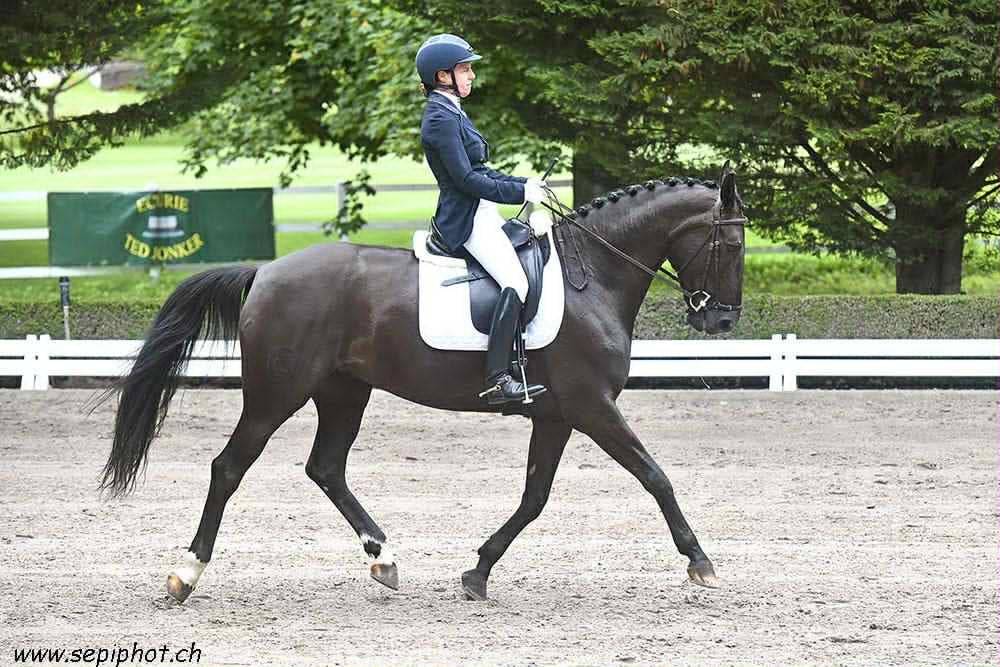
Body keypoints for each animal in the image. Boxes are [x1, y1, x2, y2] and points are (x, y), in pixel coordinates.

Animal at [99, 164, 746, 603]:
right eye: (734, 242)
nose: (721, 322)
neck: (592, 277)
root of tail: (265, 271)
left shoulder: (557, 414)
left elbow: (534, 497)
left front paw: (478, 571)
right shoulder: (592, 407)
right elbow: (655, 476)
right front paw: (700, 562)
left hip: (344, 392)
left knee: (325, 467)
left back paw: (384, 559)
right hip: (275, 396)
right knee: (229, 468)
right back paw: (185, 574)